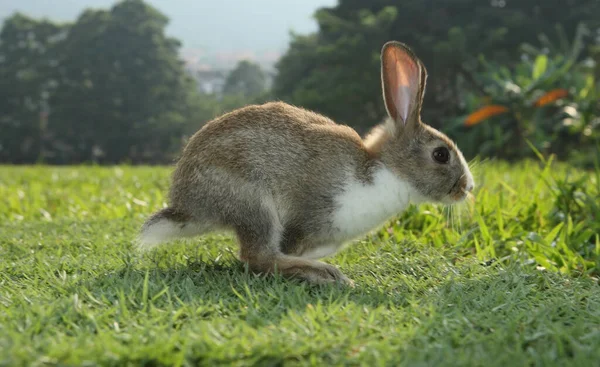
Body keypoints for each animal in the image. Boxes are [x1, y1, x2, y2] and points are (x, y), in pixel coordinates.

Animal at [139, 41, 474, 288]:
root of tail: (186, 204)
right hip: (253, 202)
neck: (386, 170)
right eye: (440, 154)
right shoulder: (306, 218)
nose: (468, 188)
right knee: (259, 256)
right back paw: (327, 275)